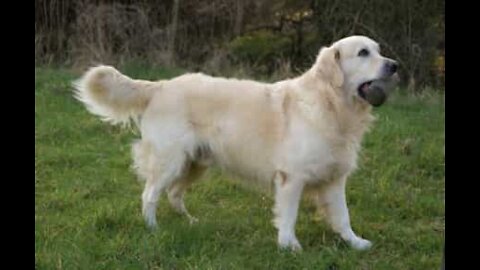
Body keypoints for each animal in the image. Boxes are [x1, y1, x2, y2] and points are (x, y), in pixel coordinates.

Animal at [74, 35, 398, 251]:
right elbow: (289, 215)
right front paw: (289, 246)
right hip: (171, 160)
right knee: (150, 194)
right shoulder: (291, 177)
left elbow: (343, 216)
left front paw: (356, 242)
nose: (394, 65)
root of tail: (161, 86)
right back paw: (153, 229)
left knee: (174, 194)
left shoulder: (334, 178)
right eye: (363, 53)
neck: (331, 104)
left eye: (379, 51)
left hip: (195, 163)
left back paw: (189, 222)